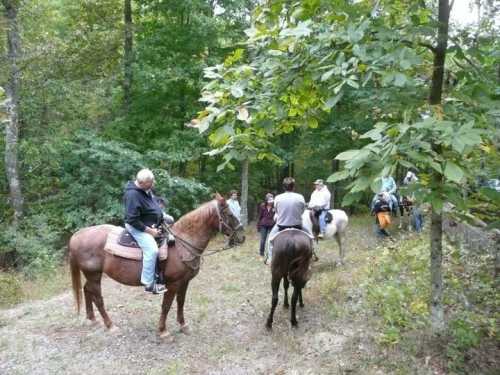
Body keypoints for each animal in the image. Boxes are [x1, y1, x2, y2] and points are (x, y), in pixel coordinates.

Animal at [68, 194, 244, 338]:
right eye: (230, 214)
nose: (242, 237)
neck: (181, 245)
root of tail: (78, 235)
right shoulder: (172, 284)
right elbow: (166, 305)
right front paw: (163, 331)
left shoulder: (185, 282)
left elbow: (181, 302)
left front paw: (183, 325)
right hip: (94, 274)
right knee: (97, 298)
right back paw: (110, 326)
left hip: (91, 275)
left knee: (86, 290)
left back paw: (91, 319)